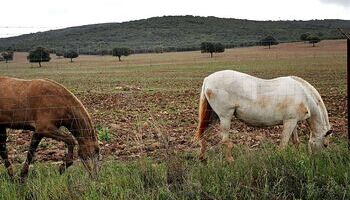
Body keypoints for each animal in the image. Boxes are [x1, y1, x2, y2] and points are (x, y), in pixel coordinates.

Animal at [196, 70, 332, 161]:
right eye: (325, 145)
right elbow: (283, 144)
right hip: (225, 117)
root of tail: (208, 79)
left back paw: (203, 158)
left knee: (205, 135)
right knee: (225, 141)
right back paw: (230, 161)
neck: (304, 95)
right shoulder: (289, 122)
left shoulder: (293, 121)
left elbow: (295, 141)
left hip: (214, 117)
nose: (318, 160)